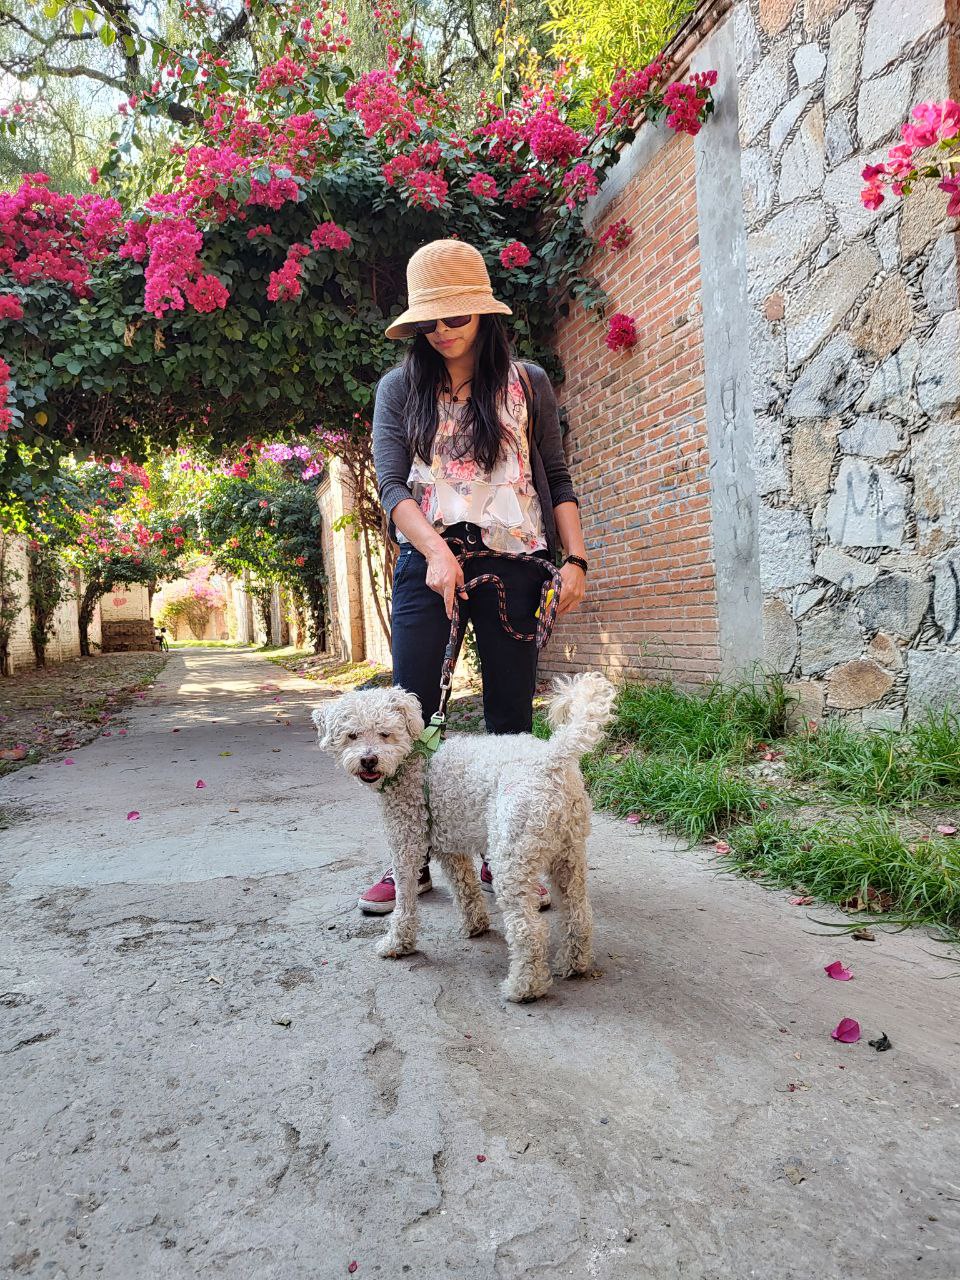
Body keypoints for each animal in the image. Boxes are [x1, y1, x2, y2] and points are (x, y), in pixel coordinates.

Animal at [316, 675, 616, 1003]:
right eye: (352, 735)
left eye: (385, 734)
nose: (368, 760)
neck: (413, 761)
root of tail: (553, 758)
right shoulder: (450, 847)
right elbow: (465, 889)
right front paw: (475, 926)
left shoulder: (407, 844)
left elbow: (405, 902)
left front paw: (397, 944)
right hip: (569, 854)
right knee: (579, 913)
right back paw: (574, 964)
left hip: (512, 857)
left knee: (529, 930)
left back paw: (523, 988)